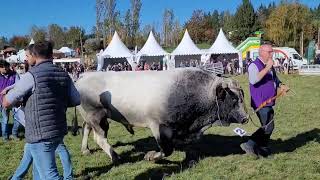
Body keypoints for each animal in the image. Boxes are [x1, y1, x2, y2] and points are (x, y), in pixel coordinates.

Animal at [76, 68, 249, 162]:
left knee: (86, 129)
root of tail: (84, 76)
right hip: (97, 117)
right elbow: (166, 150)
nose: (246, 118)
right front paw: (151, 156)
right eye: (234, 98)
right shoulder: (159, 126)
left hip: (92, 118)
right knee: (99, 138)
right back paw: (115, 156)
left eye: (242, 96)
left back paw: (85, 149)